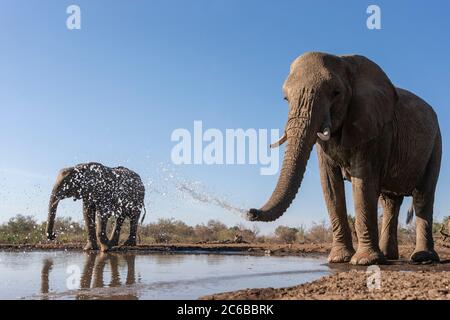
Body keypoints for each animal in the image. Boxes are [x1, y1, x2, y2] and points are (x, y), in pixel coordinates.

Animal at [248, 52, 442, 266]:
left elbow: (362, 183)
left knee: (423, 196)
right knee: (390, 202)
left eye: (336, 93)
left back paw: (422, 258)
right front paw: (339, 259)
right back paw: (389, 256)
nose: (250, 212)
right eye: (285, 98)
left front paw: (364, 261)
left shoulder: (375, 129)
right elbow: (330, 185)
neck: (345, 61)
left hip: (436, 143)